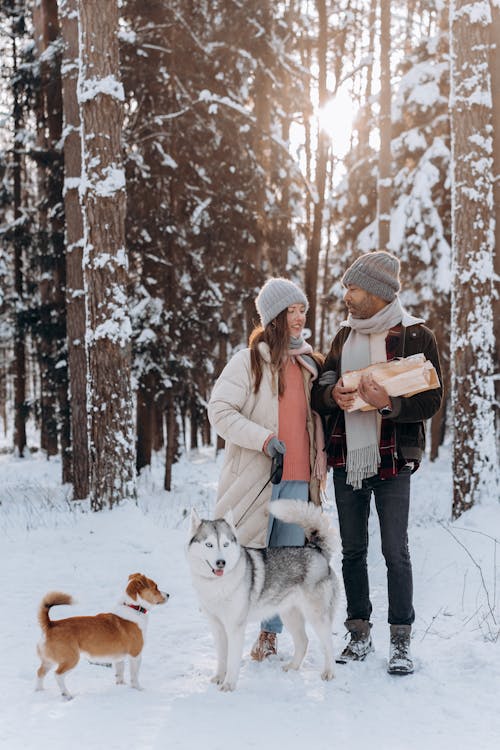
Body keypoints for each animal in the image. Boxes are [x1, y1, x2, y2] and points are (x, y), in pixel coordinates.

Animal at [35, 576, 168, 700]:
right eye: (156, 587)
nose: (168, 595)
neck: (133, 607)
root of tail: (50, 624)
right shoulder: (135, 655)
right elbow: (134, 676)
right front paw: (138, 689)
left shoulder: (119, 658)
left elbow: (120, 674)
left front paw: (121, 686)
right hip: (70, 659)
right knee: (58, 675)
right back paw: (67, 695)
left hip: (48, 661)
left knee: (40, 673)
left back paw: (39, 691)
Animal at [188, 502, 340, 696]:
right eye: (209, 545)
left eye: (225, 544)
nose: (221, 562)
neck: (218, 585)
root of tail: (316, 549)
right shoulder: (216, 626)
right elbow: (222, 657)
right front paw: (219, 678)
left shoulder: (235, 627)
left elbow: (232, 660)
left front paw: (229, 684)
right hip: (290, 616)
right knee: (303, 642)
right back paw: (293, 667)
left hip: (316, 617)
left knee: (328, 645)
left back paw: (329, 672)